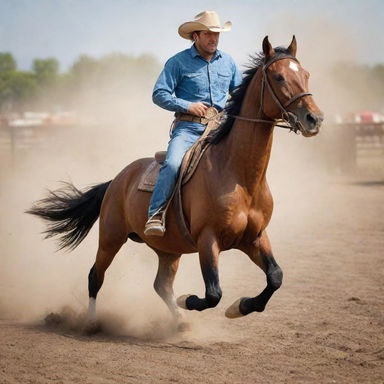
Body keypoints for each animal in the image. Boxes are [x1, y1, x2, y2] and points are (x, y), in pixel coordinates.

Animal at [27, 36, 322, 330]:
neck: (239, 177)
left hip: (168, 249)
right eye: (279, 77)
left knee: (161, 285)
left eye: (306, 74)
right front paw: (189, 300)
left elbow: (275, 276)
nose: (315, 119)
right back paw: (91, 323)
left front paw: (239, 308)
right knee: (95, 276)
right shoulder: (208, 239)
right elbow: (213, 293)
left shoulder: (255, 237)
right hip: (110, 238)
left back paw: (180, 322)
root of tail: (117, 179)